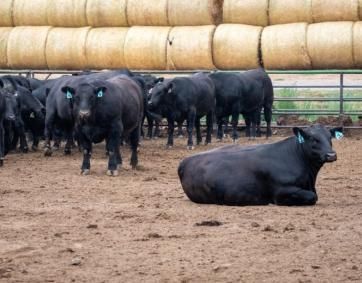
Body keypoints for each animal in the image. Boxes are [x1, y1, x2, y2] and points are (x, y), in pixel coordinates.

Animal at [180, 125, 344, 207]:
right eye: (313, 139)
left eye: (329, 138)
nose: (331, 155)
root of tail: (184, 161)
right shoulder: (282, 191)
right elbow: (313, 196)